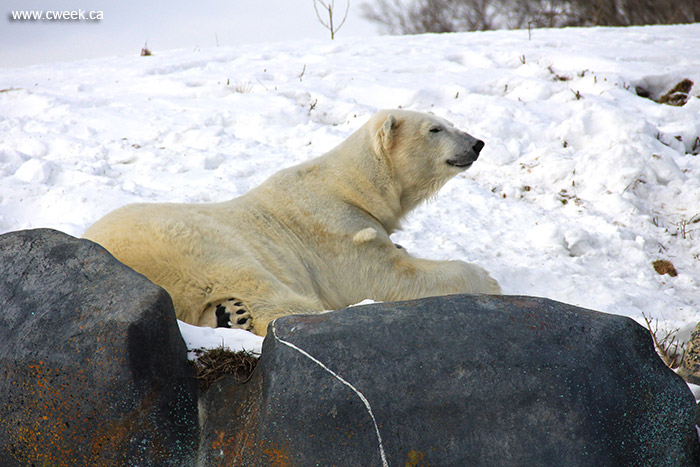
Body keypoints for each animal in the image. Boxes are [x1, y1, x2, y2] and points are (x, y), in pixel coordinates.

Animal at [83, 109, 498, 336]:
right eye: (434, 129)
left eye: (448, 122)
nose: (477, 143)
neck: (354, 186)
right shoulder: (335, 228)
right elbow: (386, 276)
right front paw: (488, 280)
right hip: (192, 244)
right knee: (266, 291)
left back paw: (229, 314)